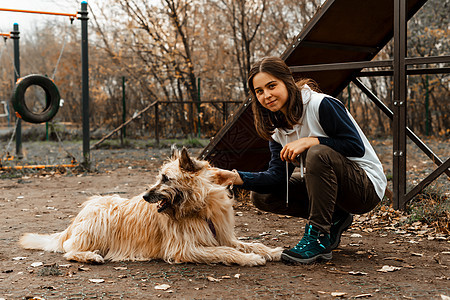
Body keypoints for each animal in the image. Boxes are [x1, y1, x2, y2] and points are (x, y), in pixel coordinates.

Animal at [21, 146, 284, 266]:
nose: (145, 196)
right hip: (102, 216)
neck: (200, 207)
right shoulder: (184, 248)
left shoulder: (222, 235)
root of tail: (77, 218)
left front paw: (271, 251)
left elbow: (248, 244)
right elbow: (224, 251)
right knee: (69, 250)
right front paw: (249, 258)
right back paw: (90, 256)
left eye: (165, 178)